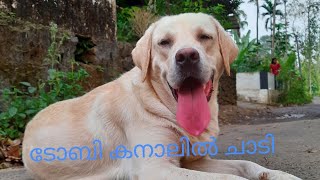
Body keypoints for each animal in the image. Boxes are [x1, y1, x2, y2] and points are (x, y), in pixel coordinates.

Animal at [21, 13, 300, 180]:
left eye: (205, 37)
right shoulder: (156, 168)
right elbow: (228, 178)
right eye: (164, 42)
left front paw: (278, 175)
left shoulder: (194, 161)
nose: (186, 56)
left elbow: (246, 164)